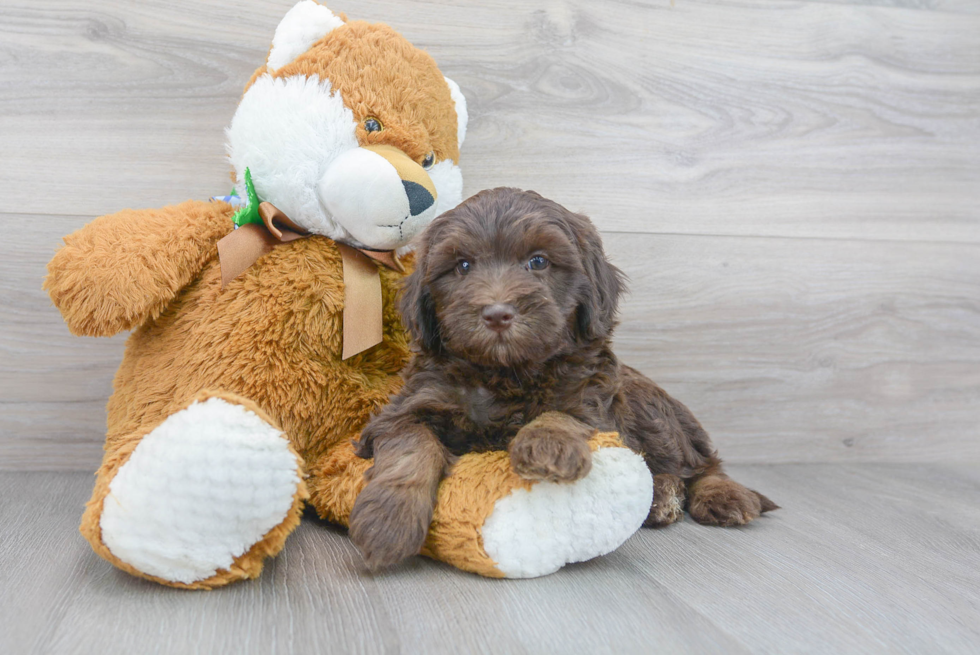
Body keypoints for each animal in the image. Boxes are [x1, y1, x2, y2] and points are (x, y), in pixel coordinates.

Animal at [348, 187, 776, 568]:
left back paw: (717, 496)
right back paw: (660, 500)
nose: (497, 313)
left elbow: (561, 413)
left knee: (702, 464)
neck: (507, 372)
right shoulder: (409, 405)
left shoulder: (591, 398)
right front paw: (388, 519)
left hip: (651, 410)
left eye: (538, 262)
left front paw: (546, 445)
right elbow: (411, 448)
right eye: (463, 266)